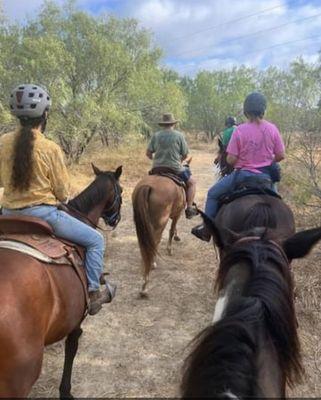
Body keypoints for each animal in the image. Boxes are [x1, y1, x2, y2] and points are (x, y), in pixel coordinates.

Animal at [131, 161, 189, 296]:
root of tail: (148, 186)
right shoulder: (177, 214)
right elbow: (172, 230)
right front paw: (169, 248)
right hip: (160, 222)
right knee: (154, 241)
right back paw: (146, 279)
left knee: (145, 243)